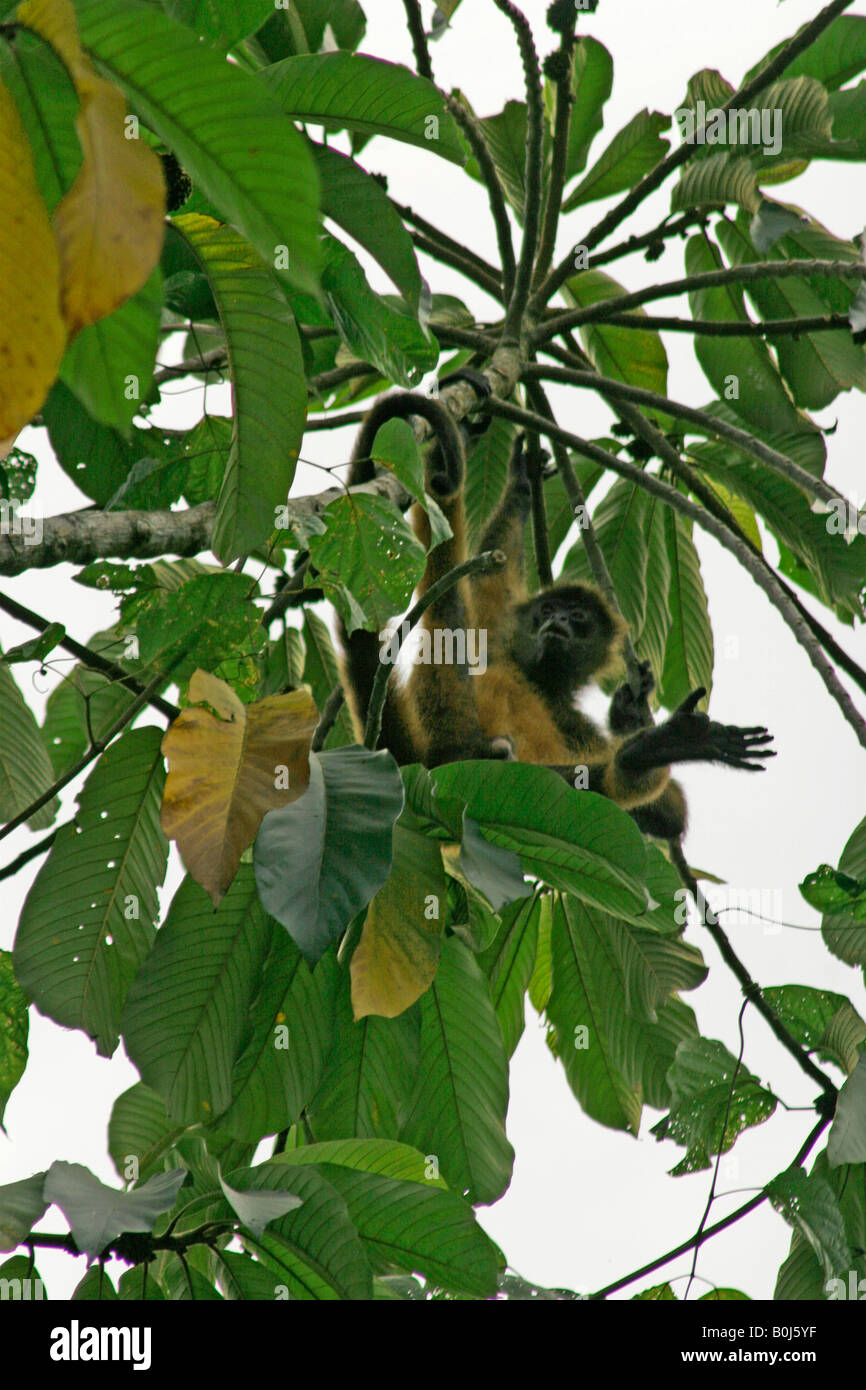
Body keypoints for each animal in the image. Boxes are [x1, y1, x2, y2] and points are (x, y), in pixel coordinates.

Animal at [337, 383, 772, 834]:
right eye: (549, 611)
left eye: (578, 618)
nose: (559, 620)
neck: (539, 680)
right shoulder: (497, 641)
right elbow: (487, 580)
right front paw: (520, 483)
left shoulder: (570, 716)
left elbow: (668, 811)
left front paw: (630, 717)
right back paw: (647, 752)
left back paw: (640, 756)